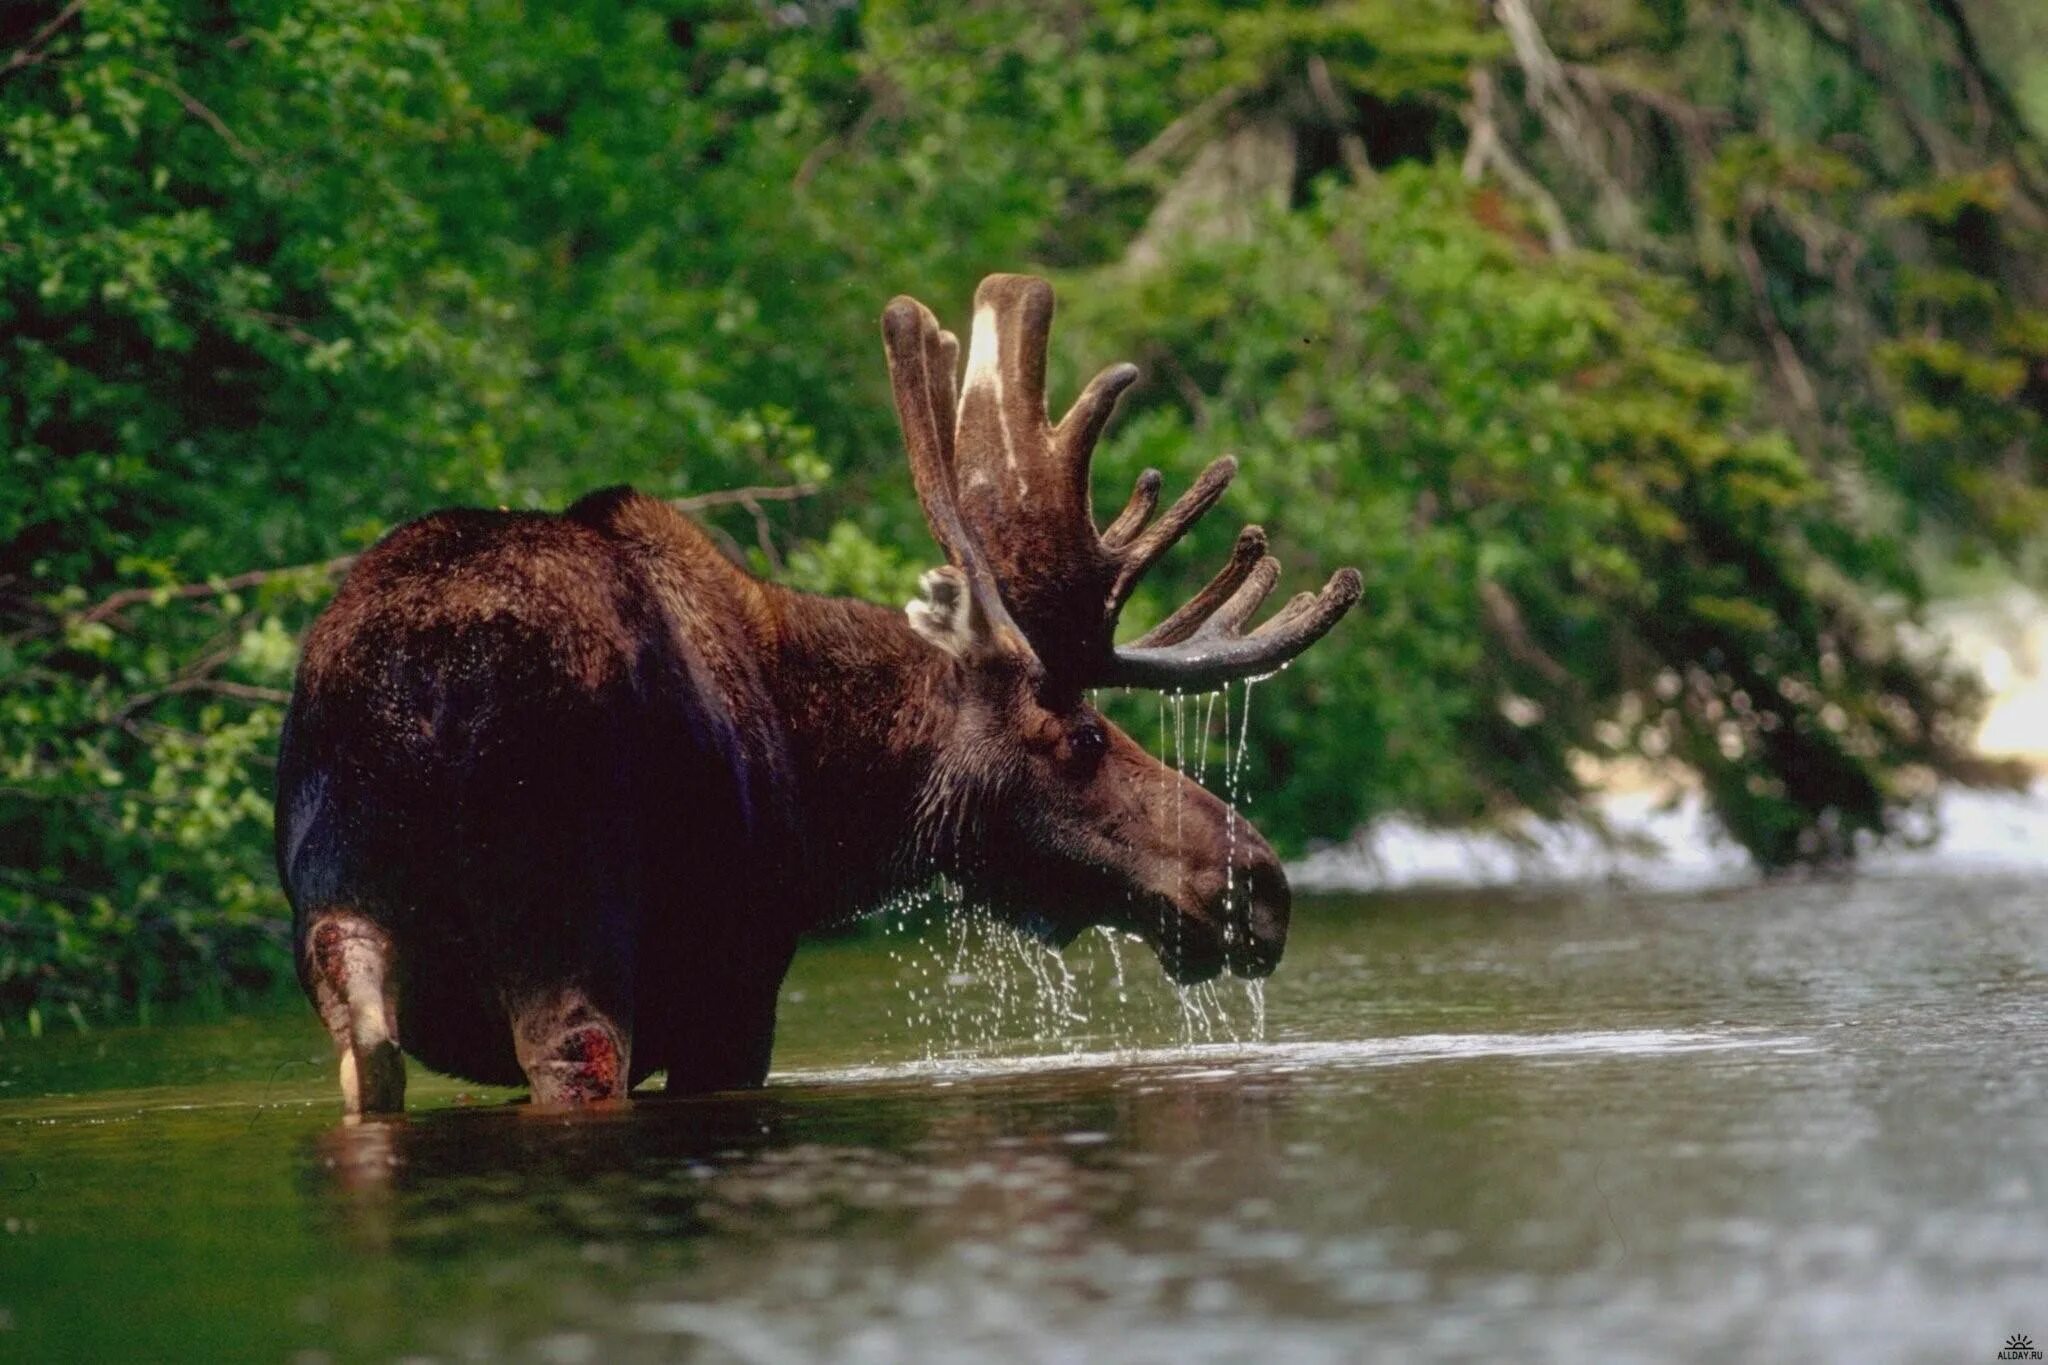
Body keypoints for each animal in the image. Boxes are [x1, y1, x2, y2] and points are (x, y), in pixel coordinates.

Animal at [272, 272, 1359, 1113]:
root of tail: (423, 682)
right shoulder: (736, 978)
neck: (832, 799)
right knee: (573, 1056)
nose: (1261, 882)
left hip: (338, 911)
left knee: (369, 1054)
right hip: (559, 913)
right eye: (1085, 735)